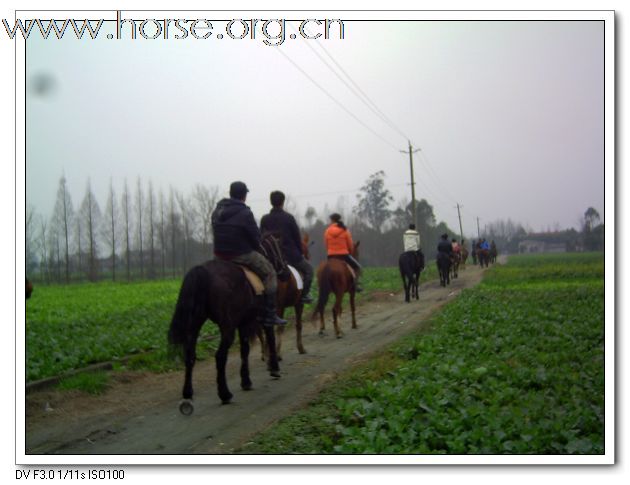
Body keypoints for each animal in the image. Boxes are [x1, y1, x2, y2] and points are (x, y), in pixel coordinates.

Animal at [168, 234, 286, 412]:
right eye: (278, 248)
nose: (284, 270)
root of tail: (202, 270)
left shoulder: (244, 322)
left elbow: (245, 350)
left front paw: (246, 381)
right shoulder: (260, 319)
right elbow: (269, 339)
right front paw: (274, 369)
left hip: (194, 324)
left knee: (190, 356)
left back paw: (187, 395)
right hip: (227, 326)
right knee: (220, 356)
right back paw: (225, 394)